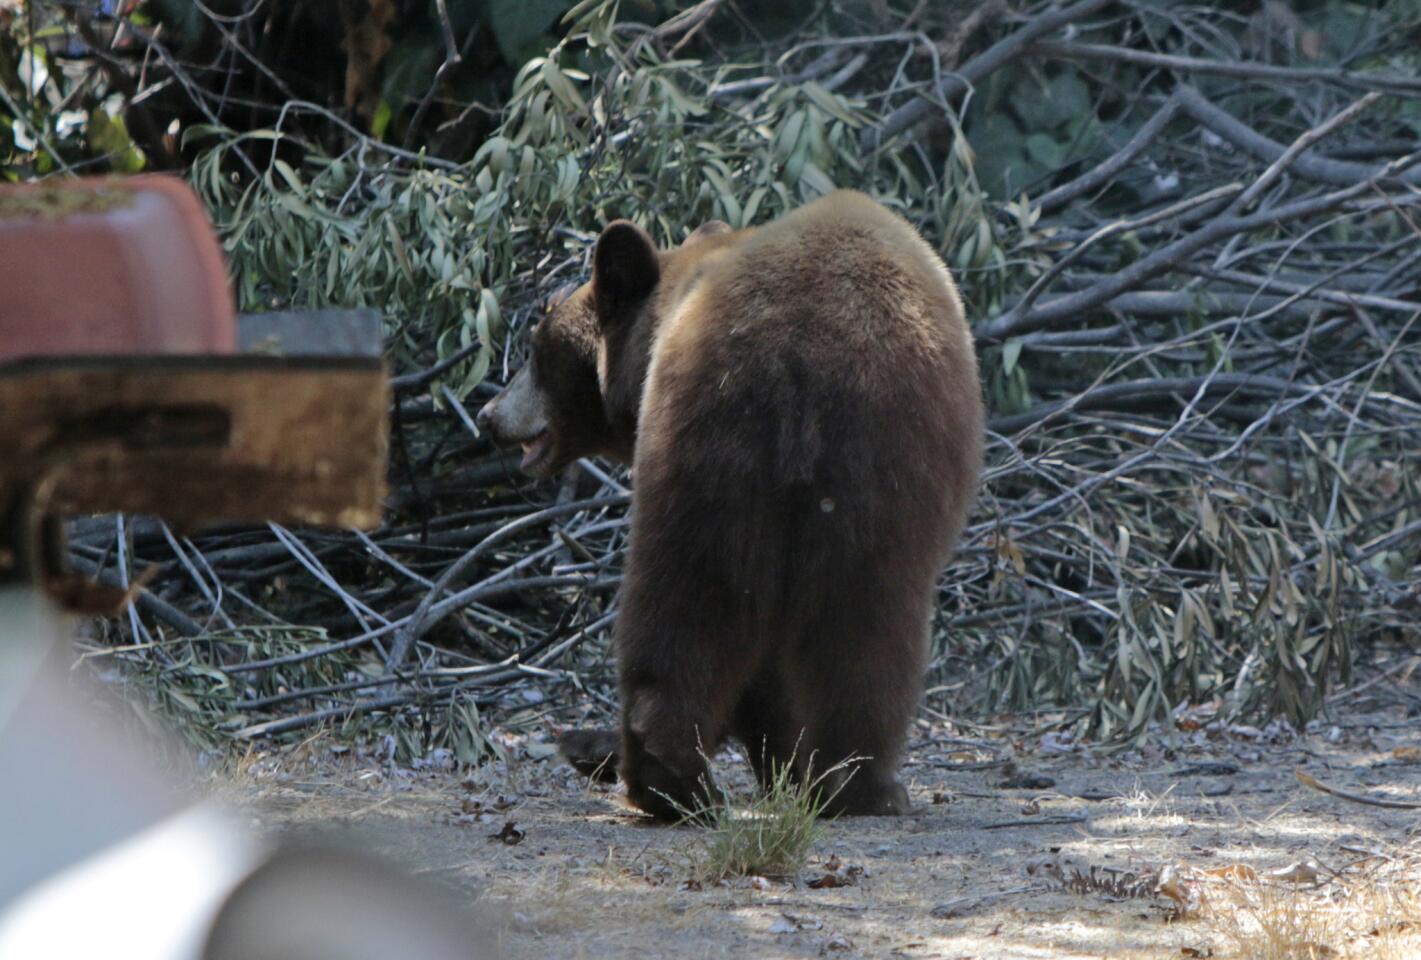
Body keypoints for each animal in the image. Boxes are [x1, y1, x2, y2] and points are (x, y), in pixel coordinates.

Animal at [474, 193, 977, 817]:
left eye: (536, 350)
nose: (489, 415)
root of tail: (797, 350)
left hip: (725, 447)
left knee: (696, 594)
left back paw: (677, 776)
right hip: (846, 459)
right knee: (854, 619)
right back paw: (851, 781)